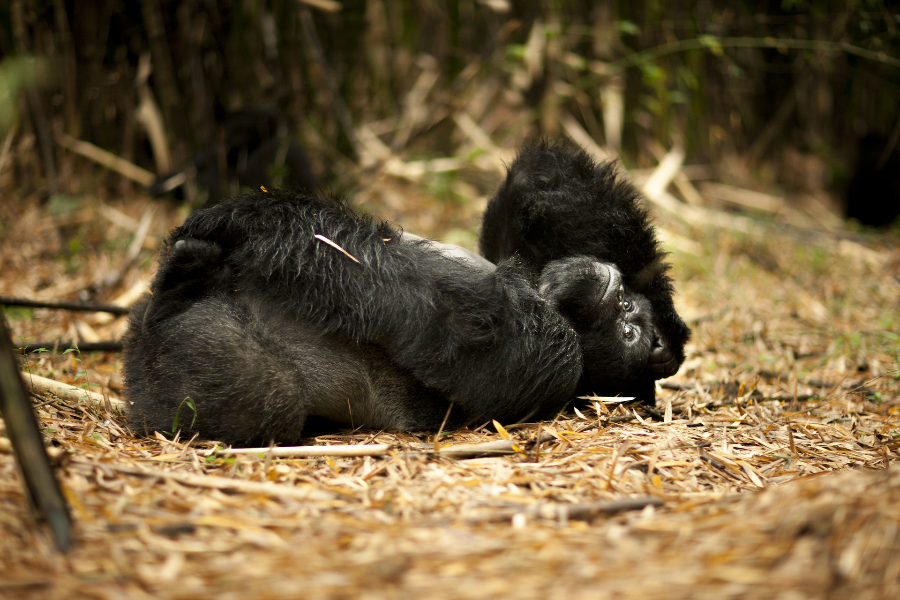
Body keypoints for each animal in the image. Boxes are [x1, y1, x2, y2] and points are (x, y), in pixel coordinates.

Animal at [125, 143, 688, 448]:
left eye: (628, 330)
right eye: (630, 315)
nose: (619, 294)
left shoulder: (555, 356)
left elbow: (434, 309)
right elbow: (544, 190)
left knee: (264, 398)